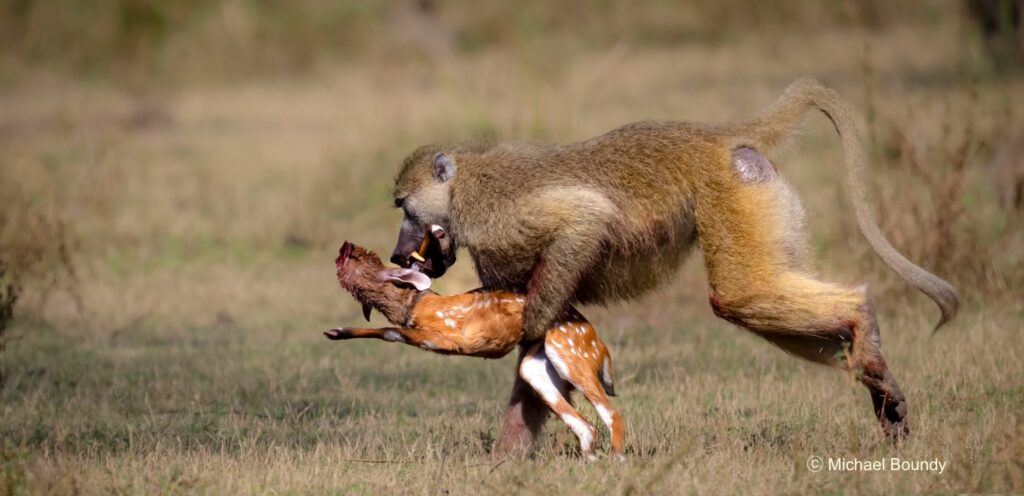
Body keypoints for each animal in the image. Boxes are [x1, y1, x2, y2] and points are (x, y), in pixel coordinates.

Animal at [388, 78, 959, 454]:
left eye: (403, 207)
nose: (397, 254)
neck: (463, 185)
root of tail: (714, 136)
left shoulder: (496, 215)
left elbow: (581, 225)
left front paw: (524, 330)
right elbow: (540, 353)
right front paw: (507, 463)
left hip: (729, 194)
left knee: (739, 296)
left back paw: (862, 325)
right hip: (758, 190)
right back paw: (875, 375)